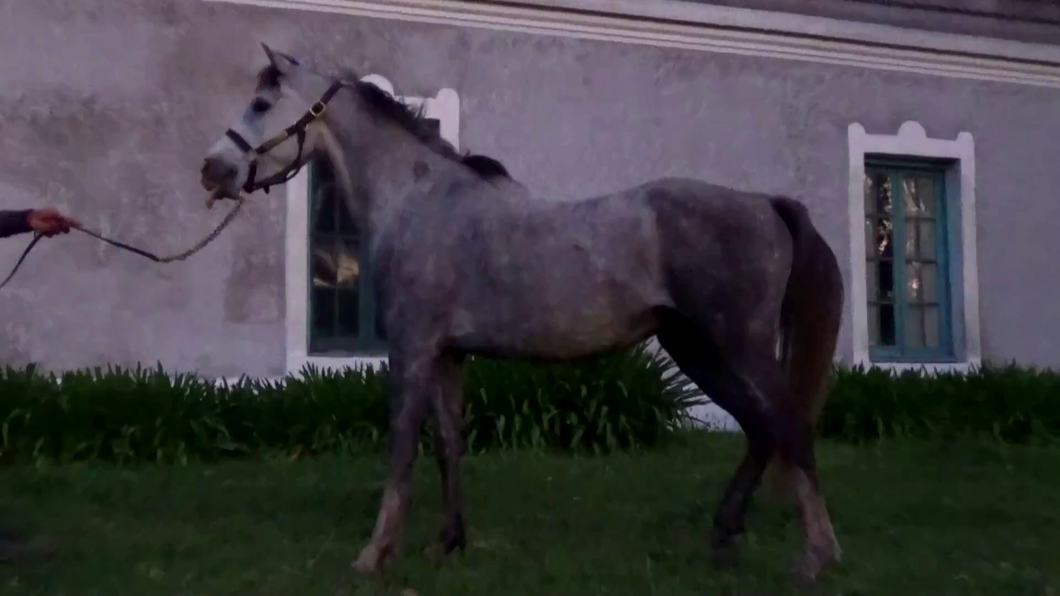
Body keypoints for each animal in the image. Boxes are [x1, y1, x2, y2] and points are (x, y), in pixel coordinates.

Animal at [198, 43, 845, 582]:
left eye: (261, 103)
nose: (212, 170)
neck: (417, 201)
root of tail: (764, 204)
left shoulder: (411, 349)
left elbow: (403, 449)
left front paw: (374, 555)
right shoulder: (449, 355)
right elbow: (449, 446)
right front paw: (447, 544)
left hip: (739, 347)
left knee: (789, 427)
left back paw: (816, 557)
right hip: (697, 351)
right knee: (760, 430)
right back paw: (724, 538)